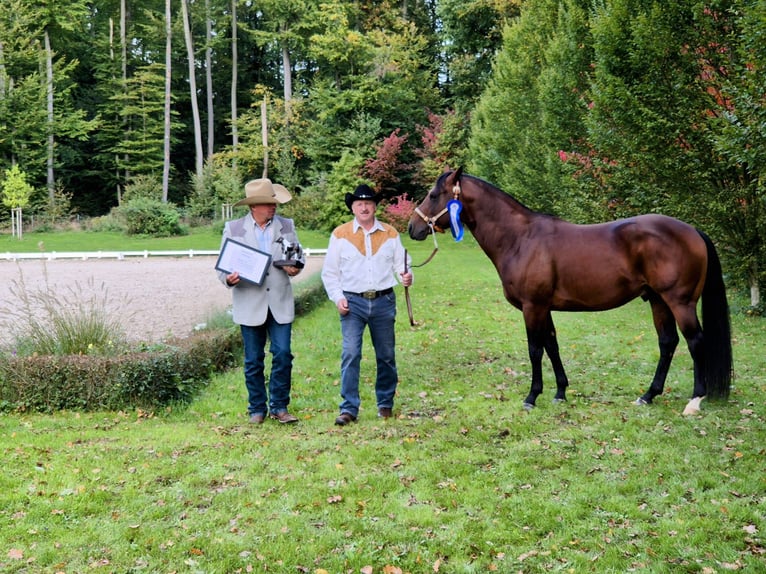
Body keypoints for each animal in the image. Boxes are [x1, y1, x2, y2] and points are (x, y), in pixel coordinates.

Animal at [412, 169, 736, 416]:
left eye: (433, 195)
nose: (413, 227)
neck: (521, 239)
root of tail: (693, 231)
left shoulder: (533, 307)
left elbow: (535, 350)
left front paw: (532, 397)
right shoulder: (544, 307)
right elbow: (552, 346)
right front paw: (559, 392)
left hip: (680, 302)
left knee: (695, 342)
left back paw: (694, 401)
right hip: (657, 300)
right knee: (668, 343)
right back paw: (648, 396)